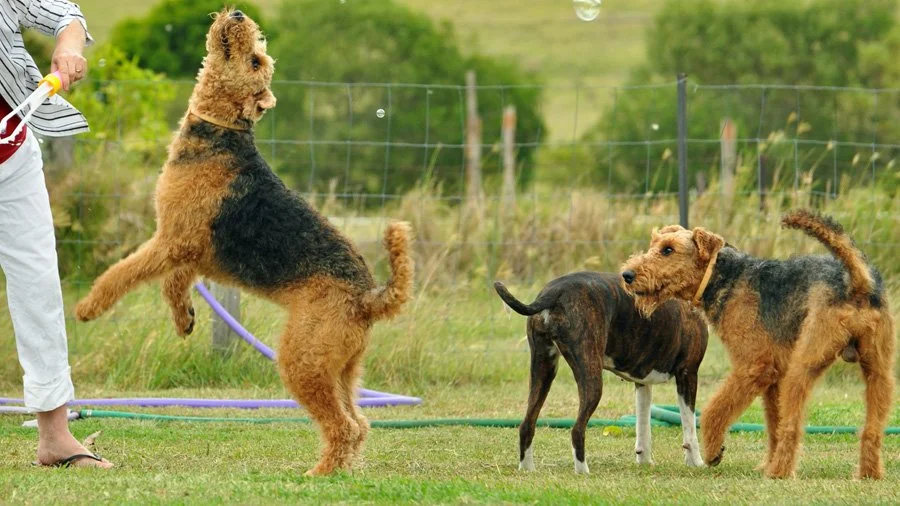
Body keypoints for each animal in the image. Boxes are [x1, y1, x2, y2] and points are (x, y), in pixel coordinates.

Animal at [75, 9, 414, 476]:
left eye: (255, 61)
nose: (237, 14)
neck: (222, 132)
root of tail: (370, 297)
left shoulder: (171, 240)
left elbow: (123, 273)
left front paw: (88, 308)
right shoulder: (189, 247)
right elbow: (173, 284)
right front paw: (185, 321)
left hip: (302, 361)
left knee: (343, 425)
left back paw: (317, 475)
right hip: (343, 367)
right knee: (359, 424)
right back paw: (338, 470)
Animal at [496, 272, 708, 474]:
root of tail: (553, 291)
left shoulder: (643, 383)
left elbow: (643, 426)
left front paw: (645, 461)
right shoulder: (688, 373)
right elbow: (690, 427)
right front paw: (696, 463)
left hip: (543, 369)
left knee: (527, 425)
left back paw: (527, 469)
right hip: (591, 376)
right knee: (577, 430)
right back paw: (583, 471)